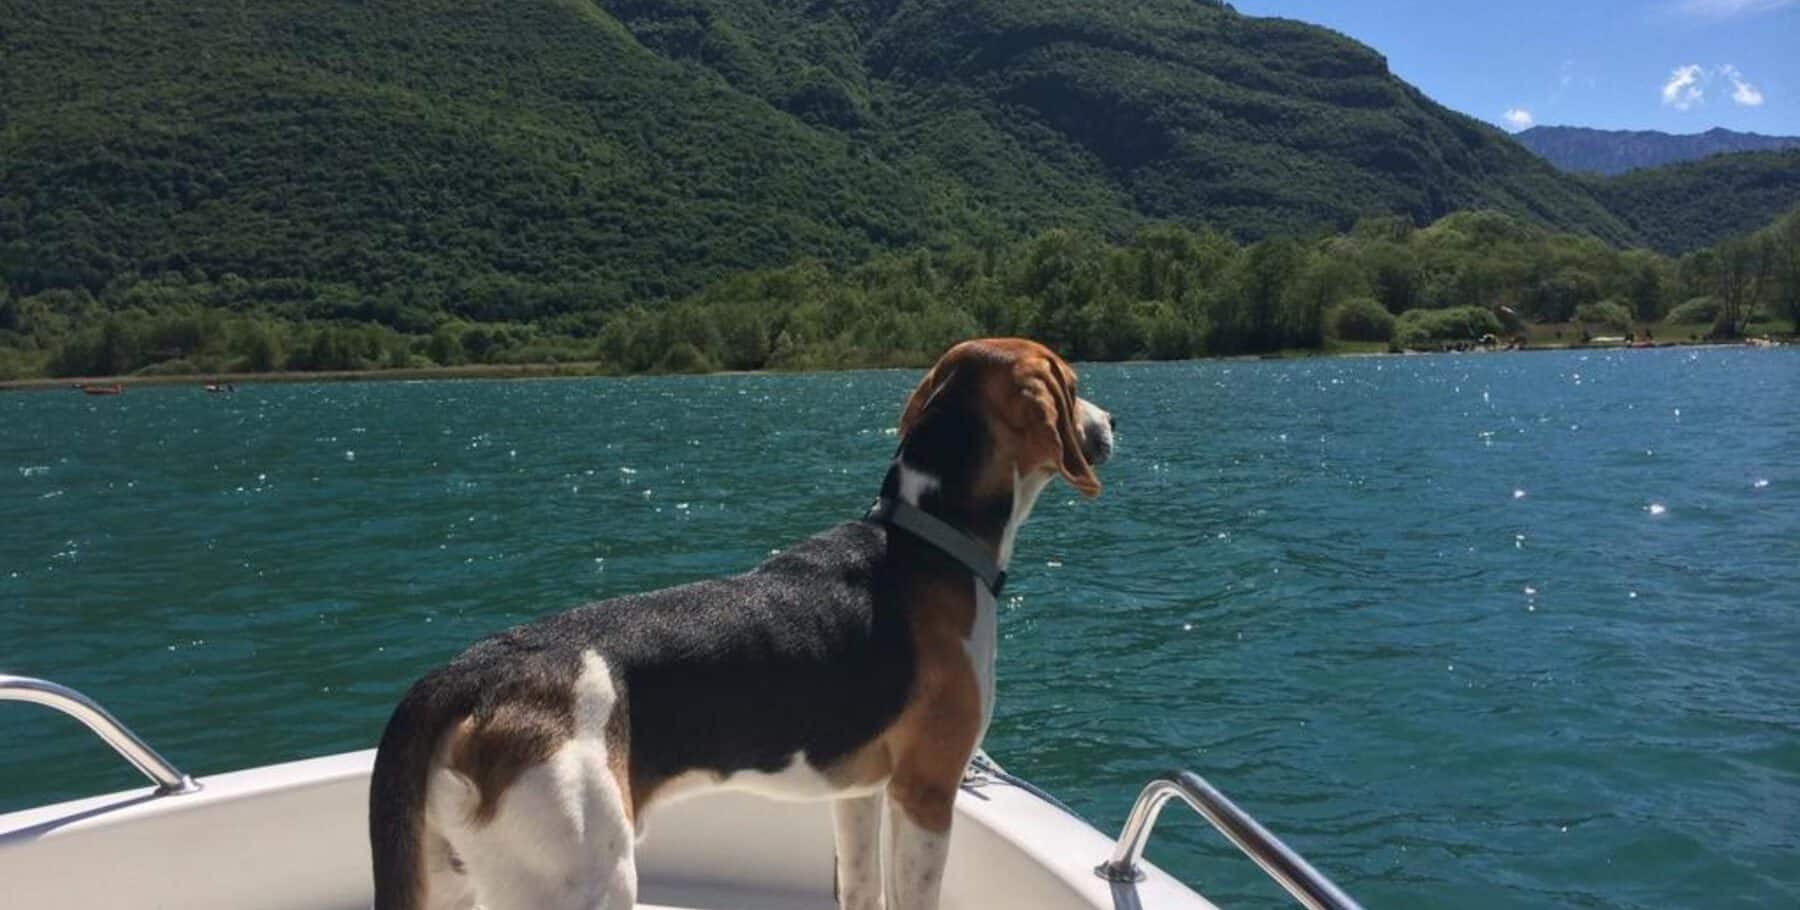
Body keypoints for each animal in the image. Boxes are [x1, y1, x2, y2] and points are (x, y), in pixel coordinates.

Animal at [369, 338, 1108, 906]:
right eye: (1072, 384)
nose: (1111, 424)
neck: (928, 535)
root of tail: (470, 672)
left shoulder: (861, 793)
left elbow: (860, 887)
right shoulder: (926, 788)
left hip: (453, 876)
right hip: (584, 870)